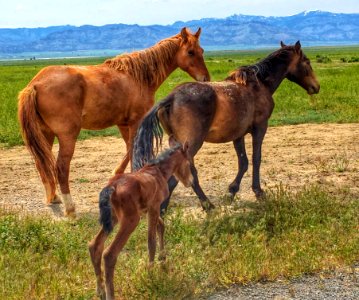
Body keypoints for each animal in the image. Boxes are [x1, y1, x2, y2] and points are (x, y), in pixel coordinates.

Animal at [17, 27, 211, 216]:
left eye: (202, 51)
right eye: (191, 52)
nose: (205, 79)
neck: (138, 77)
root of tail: (35, 84)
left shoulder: (123, 124)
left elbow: (128, 150)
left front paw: (118, 174)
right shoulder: (135, 122)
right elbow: (133, 150)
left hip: (46, 134)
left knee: (42, 165)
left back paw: (53, 197)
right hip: (67, 136)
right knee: (61, 168)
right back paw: (70, 209)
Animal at [88, 141, 193, 300]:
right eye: (188, 163)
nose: (190, 182)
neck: (158, 171)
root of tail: (112, 186)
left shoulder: (148, 210)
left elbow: (161, 226)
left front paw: (163, 259)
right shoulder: (154, 207)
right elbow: (151, 241)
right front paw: (151, 273)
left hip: (113, 218)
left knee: (95, 245)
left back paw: (100, 290)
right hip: (131, 220)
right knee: (109, 254)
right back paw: (109, 294)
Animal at [132, 41, 320, 212]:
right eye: (307, 61)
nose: (316, 87)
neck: (259, 84)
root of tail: (170, 98)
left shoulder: (238, 135)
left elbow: (243, 162)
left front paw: (232, 191)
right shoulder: (260, 128)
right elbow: (256, 159)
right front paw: (258, 192)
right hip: (192, 144)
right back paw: (202, 206)